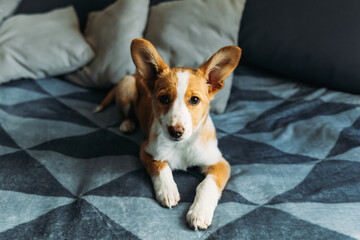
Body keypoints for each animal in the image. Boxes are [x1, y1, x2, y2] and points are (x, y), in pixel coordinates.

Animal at [95, 38, 242, 230]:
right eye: (164, 98)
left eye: (195, 100)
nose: (175, 131)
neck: (181, 146)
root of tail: (135, 74)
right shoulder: (146, 150)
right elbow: (160, 166)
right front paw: (167, 190)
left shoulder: (220, 163)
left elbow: (206, 185)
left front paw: (199, 212)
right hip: (126, 87)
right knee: (124, 113)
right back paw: (127, 124)